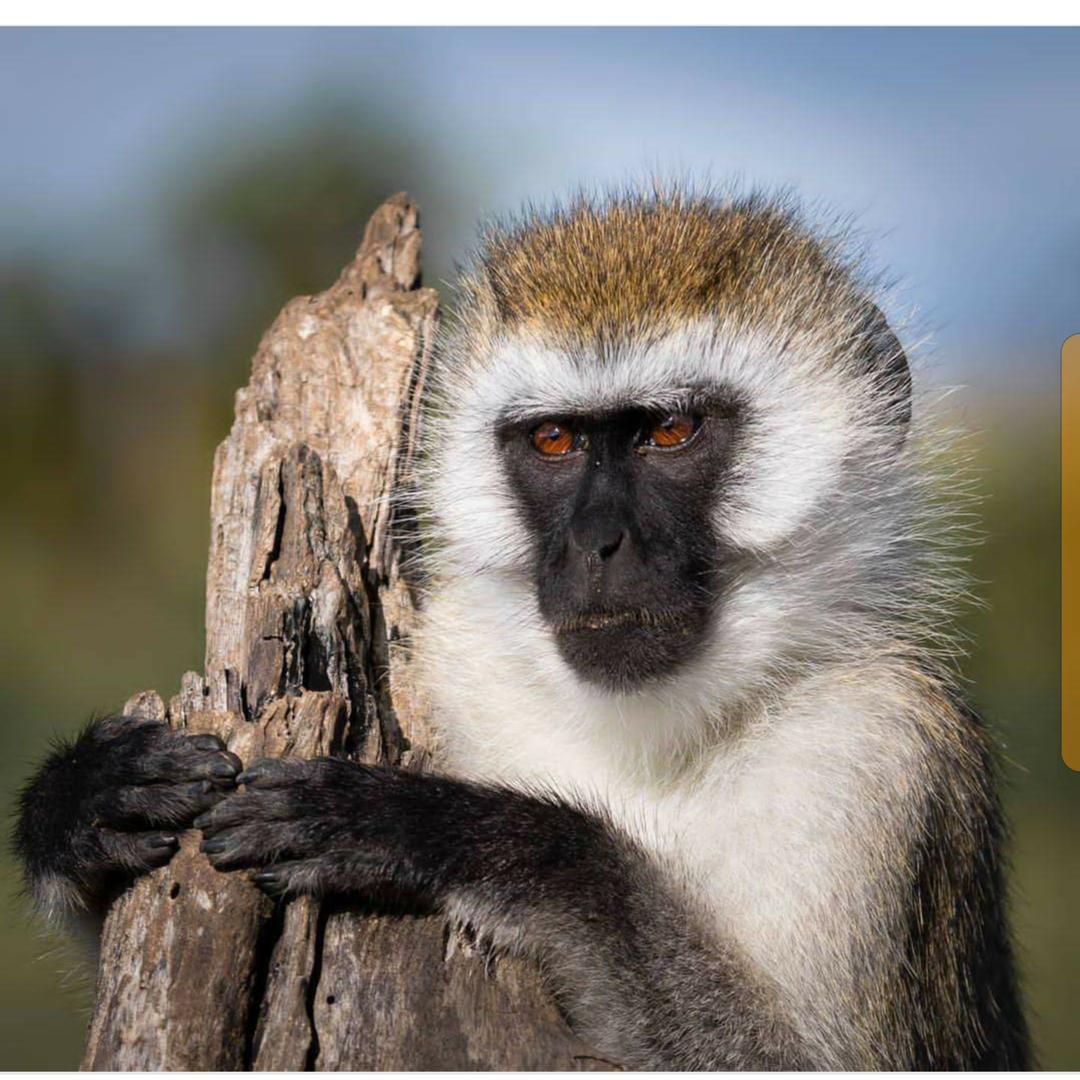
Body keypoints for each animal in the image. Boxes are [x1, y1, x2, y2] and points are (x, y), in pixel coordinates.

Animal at [13, 187, 1029, 1069]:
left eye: (669, 430)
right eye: (554, 441)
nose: (598, 544)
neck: (656, 734)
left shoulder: (880, 755)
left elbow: (788, 1059)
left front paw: (461, 835)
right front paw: (84, 800)